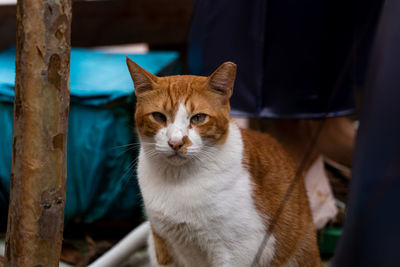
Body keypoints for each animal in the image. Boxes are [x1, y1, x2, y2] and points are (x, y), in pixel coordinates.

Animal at [126, 59, 320, 267]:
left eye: (198, 118)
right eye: (159, 117)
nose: (176, 142)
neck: (179, 182)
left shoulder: (239, 251)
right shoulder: (163, 243)